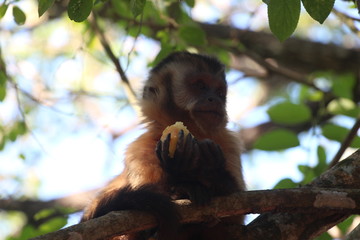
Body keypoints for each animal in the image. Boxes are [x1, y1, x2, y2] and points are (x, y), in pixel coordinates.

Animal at [81, 51, 245, 240]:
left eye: (219, 92)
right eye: (200, 86)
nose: (214, 99)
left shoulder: (229, 142)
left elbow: (234, 216)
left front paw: (212, 170)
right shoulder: (140, 148)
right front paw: (180, 171)